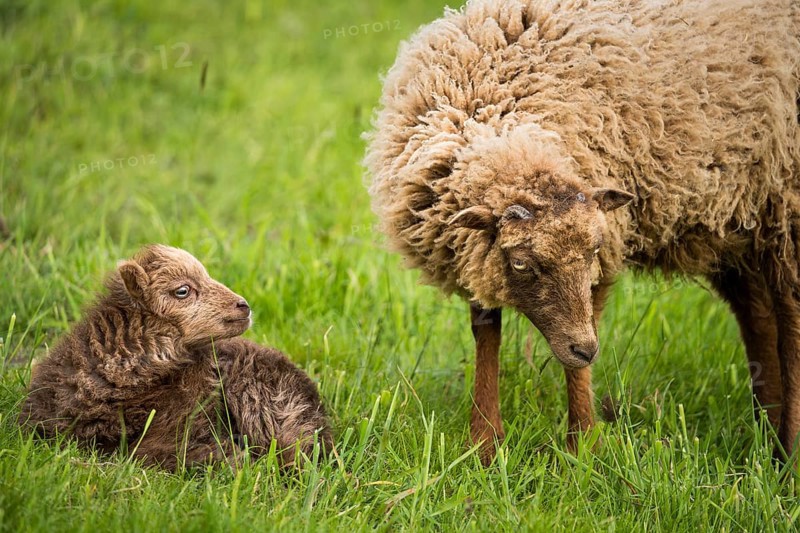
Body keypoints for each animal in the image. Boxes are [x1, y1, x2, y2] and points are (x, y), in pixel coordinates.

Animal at [364, 0, 800, 464]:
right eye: (521, 262)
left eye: (592, 250)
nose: (586, 347)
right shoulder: (474, 254)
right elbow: (486, 332)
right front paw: (484, 445)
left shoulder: (603, 256)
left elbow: (577, 356)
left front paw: (582, 446)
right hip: (740, 221)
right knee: (759, 315)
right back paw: (767, 436)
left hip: (785, 207)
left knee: (790, 324)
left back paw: (788, 451)